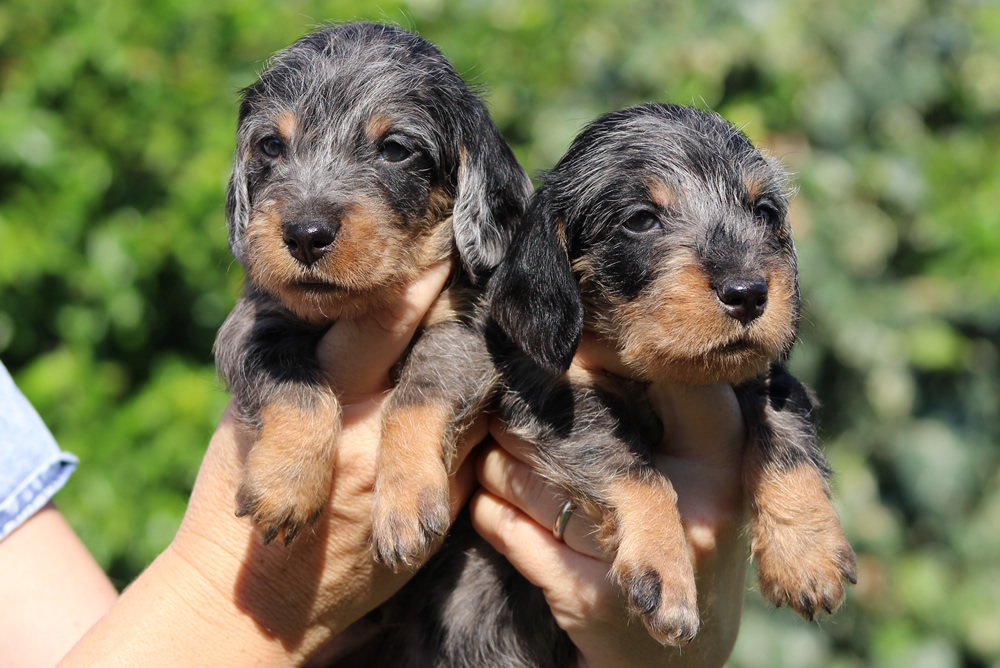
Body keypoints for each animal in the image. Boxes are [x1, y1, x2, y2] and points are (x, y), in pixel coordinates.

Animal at [212, 20, 532, 560]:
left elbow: (418, 394)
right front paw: (285, 483)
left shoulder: (471, 329)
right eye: (271, 146)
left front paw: (405, 499)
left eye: (395, 149)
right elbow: (297, 388)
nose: (305, 235)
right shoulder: (252, 325)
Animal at [488, 104, 856, 648]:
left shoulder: (770, 379)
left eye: (765, 212)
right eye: (641, 219)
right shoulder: (547, 394)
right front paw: (664, 568)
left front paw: (806, 554)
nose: (748, 292)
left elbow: (786, 441)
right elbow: (635, 468)